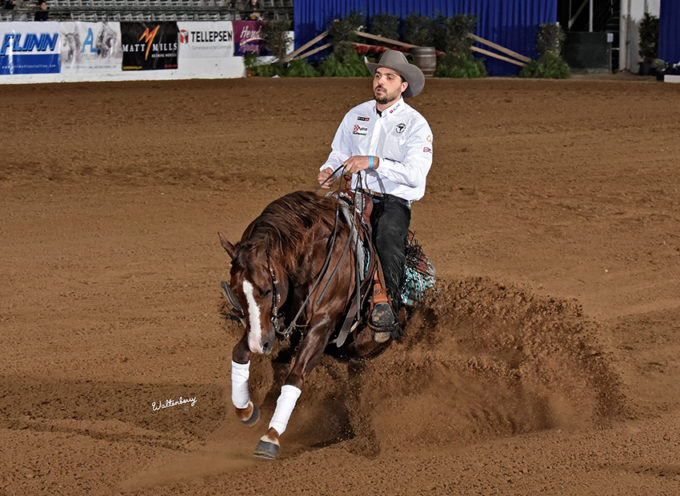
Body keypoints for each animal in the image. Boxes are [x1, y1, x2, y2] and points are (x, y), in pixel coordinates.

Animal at [218, 189, 432, 458]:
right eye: (236, 291)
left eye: (266, 290)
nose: (260, 346)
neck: (311, 252)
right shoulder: (273, 323)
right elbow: (239, 353)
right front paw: (246, 410)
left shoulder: (322, 323)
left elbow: (296, 375)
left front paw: (271, 436)